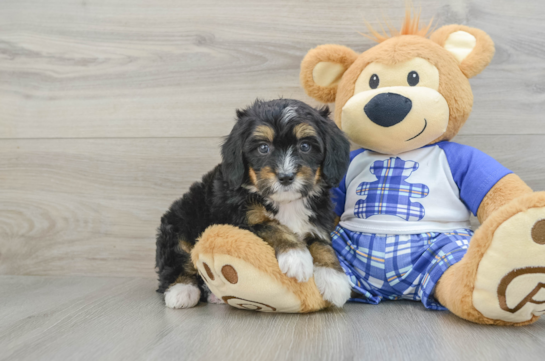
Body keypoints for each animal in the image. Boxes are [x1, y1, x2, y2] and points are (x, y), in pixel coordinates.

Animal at [155, 97, 350, 306]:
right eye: (263, 148)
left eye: (305, 146)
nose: (285, 177)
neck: (286, 203)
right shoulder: (239, 220)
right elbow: (273, 226)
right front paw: (296, 257)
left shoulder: (318, 221)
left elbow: (322, 244)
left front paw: (334, 279)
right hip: (179, 223)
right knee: (177, 259)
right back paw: (182, 291)